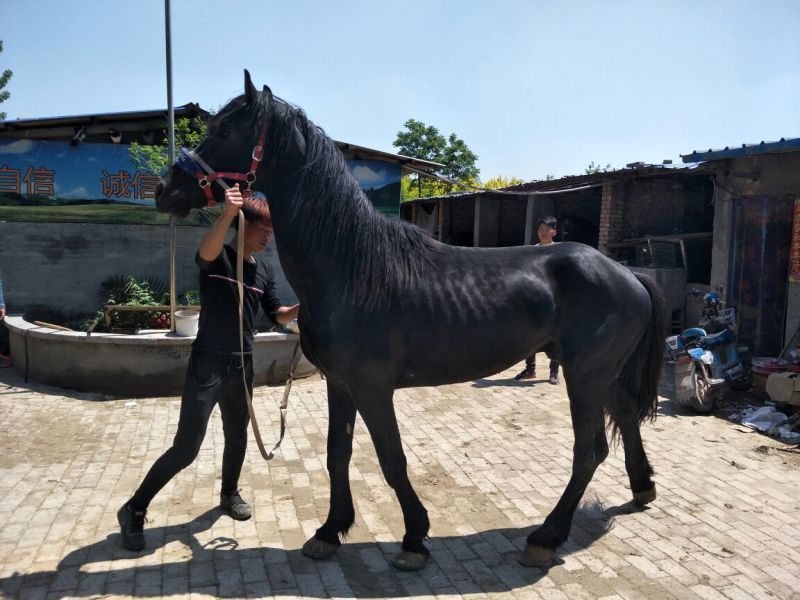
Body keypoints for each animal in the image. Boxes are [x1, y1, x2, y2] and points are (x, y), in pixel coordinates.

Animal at [156, 70, 666, 571]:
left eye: (224, 130)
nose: (165, 190)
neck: (350, 268)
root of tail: (629, 274)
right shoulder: (339, 384)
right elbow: (337, 454)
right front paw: (329, 532)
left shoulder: (373, 389)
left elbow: (391, 460)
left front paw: (415, 538)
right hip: (598, 373)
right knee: (624, 416)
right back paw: (642, 488)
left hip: (585, 376)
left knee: (589, 451)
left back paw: (546, 537)